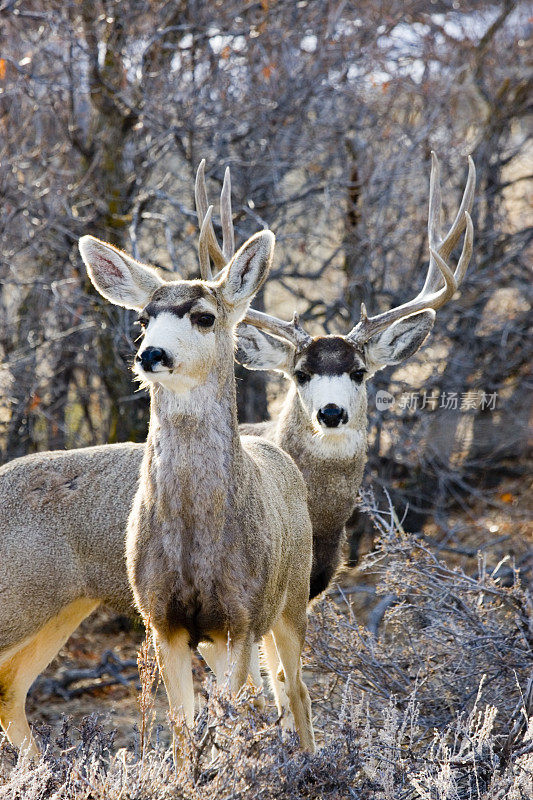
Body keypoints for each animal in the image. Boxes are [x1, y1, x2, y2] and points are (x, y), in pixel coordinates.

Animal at [0, 152, 474, 756]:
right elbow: (234, 709)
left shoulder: (253, 612)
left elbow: (265, 696)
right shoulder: (206, 620)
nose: (332, 414)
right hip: (23, 597)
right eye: (142, 319)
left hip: (63, 607)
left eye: (360, 372)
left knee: (10, 688)